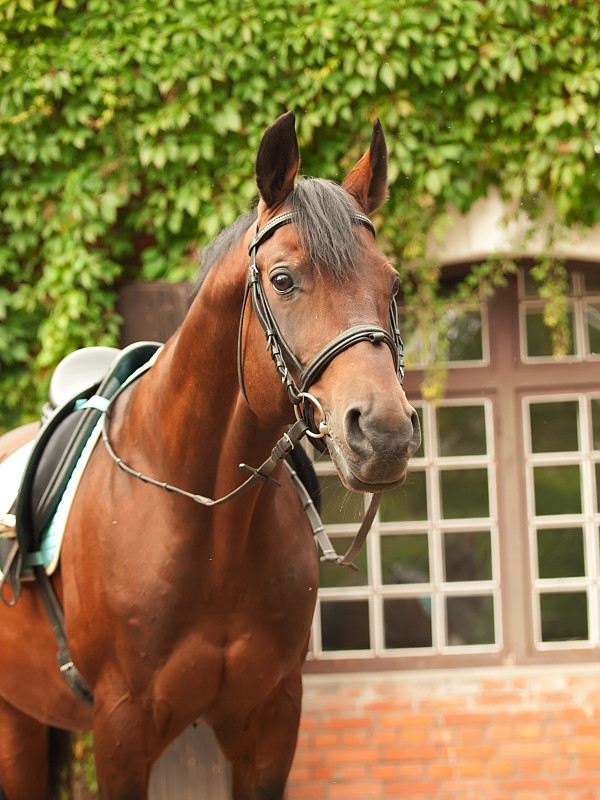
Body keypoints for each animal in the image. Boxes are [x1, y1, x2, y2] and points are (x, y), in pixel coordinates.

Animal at [0, 114, 420, 800]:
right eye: (282, 280)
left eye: (394, 283)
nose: (383, 433)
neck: (203, 519)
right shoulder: (122, 730)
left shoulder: (270, 721)